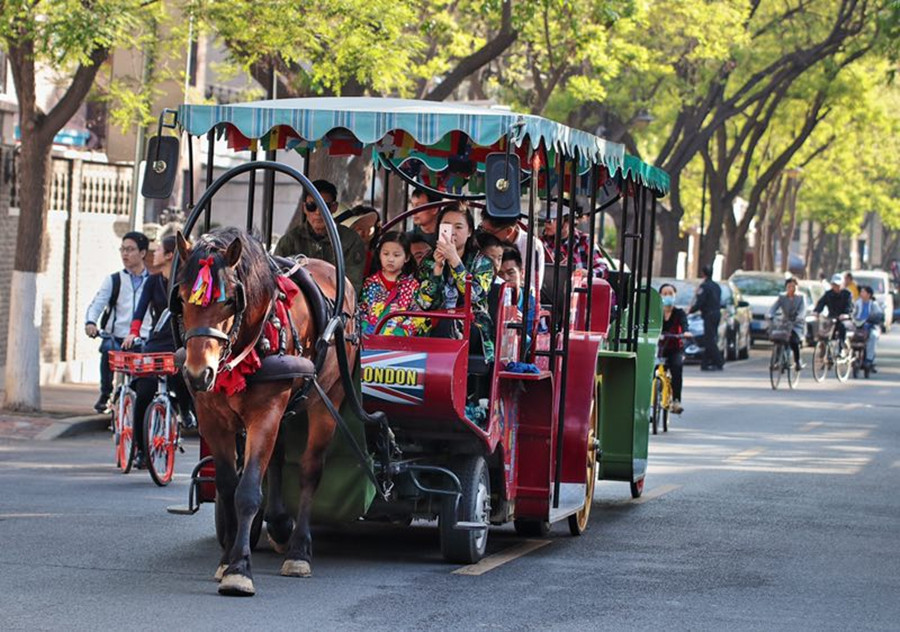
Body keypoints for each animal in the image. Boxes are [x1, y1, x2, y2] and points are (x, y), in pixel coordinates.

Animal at [174, 227, 356, 596]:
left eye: (230, 301)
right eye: (182, 299)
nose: (198, 374)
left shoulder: (266, 412)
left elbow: (247, 491)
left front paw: (239, 570)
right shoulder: (212, 418)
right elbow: (228, 486)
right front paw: (225, 559)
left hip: (327, 398)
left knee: (310, 470)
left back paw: (299, 550)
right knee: (277, 459)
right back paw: (280, 525)